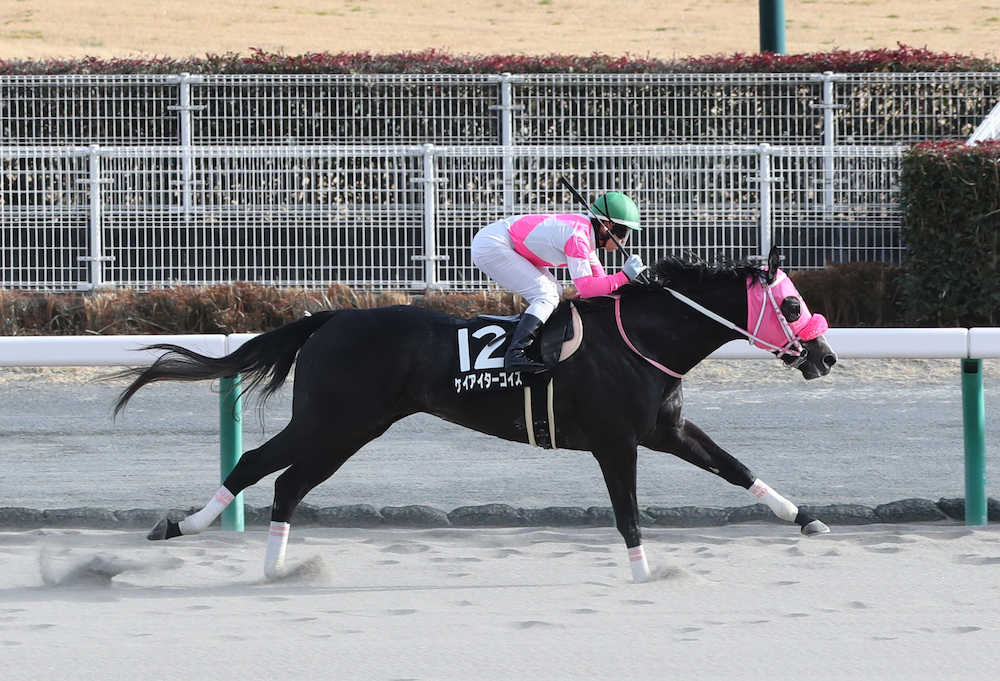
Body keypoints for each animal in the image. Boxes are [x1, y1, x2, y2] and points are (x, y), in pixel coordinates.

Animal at [115, 248, 836, 580]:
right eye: (793, 304)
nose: (825, 355)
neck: (641, 337)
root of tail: (329, 316)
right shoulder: (616, 442)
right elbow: (628, 512)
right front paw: (644, 572)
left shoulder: (667, 429)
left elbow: (735, 466)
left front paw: (806, 518)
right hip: (333, 420)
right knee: (261, 466)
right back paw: (199, 533)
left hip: (350, 427)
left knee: (283, 480)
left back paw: (258, 558)